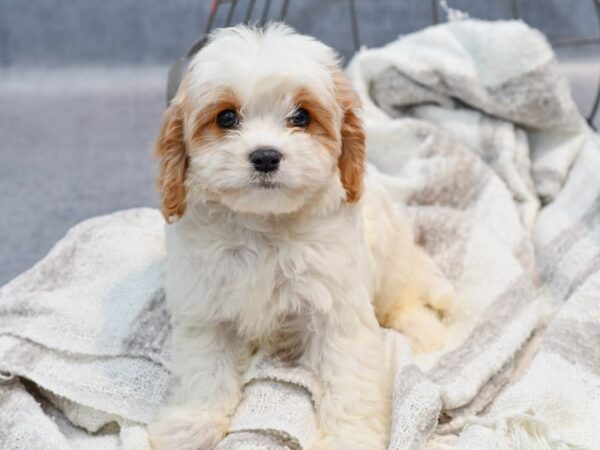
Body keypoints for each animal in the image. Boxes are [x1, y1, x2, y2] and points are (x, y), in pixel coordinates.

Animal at [148, 22, 452, 450]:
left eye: (301, 117)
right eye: (226, 118)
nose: (265, 156)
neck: (263, 226)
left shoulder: (339, 313)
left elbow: (349, 382)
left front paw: (349, 438)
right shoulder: (205, 310)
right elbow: (205, 372)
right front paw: (194, 424)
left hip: (393, 264)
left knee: (403, 296)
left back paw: (422, 330)